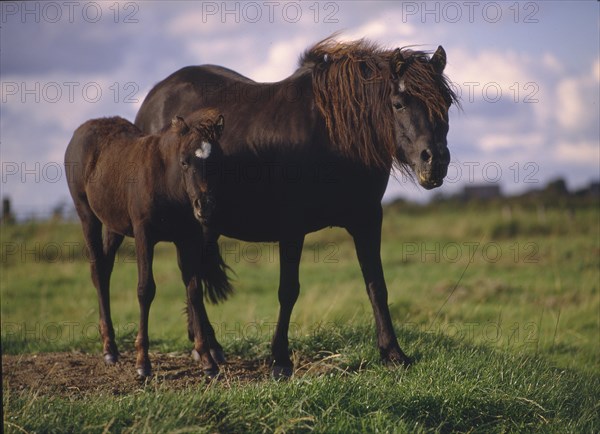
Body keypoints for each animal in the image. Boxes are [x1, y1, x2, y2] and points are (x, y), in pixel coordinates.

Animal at [65, 109, 230, 376]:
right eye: (184, 161)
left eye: (217, 161)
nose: (204, 206)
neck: (166, 182)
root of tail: (82, 129)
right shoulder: (144, 235)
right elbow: (145, 289)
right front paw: (143, 363)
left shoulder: (189, 238)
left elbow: (194, 290)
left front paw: (207, 360)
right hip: (87, 215)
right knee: (98, 270)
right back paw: (109, 349)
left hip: (114, 225)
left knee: (105, 269)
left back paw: (111, 348)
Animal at [134, 36, 458, 376]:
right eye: (399, 103)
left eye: (446, 103)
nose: (435, 161)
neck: (333, 134)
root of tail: (155, 97)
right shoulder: (292, 226)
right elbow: (288, 290)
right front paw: (279, 360)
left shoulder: (367, 219)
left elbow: (376, 286)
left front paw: (393, 353)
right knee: (191, 276)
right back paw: (208, 349)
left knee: (191, 276)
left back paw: (206, 347)